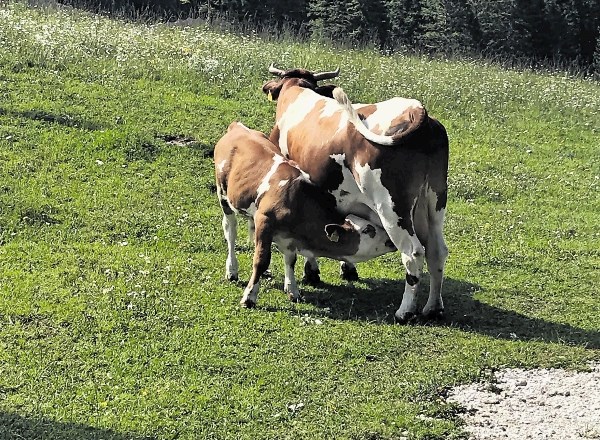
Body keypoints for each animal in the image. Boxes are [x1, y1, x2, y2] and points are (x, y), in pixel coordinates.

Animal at [213, 122, 396, 308]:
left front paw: (292, 290)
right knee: (230, 232)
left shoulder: (288, 237)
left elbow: (290, 260)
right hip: (223, 196)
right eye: (368, 229)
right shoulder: (264, 222)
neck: (296, 201)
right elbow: (261, 261)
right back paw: (232, 269)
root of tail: (237, 127)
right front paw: (249, 296)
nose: (390, 240)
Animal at [260, 65, 448, 322]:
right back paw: (433, 308)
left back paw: (404, 311)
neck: (296, 91)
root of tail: (417, 111)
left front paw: (312, 271)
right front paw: (346, 268)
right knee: (437, 251)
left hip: (392, 210)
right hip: (434, 205)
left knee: (413, 253)